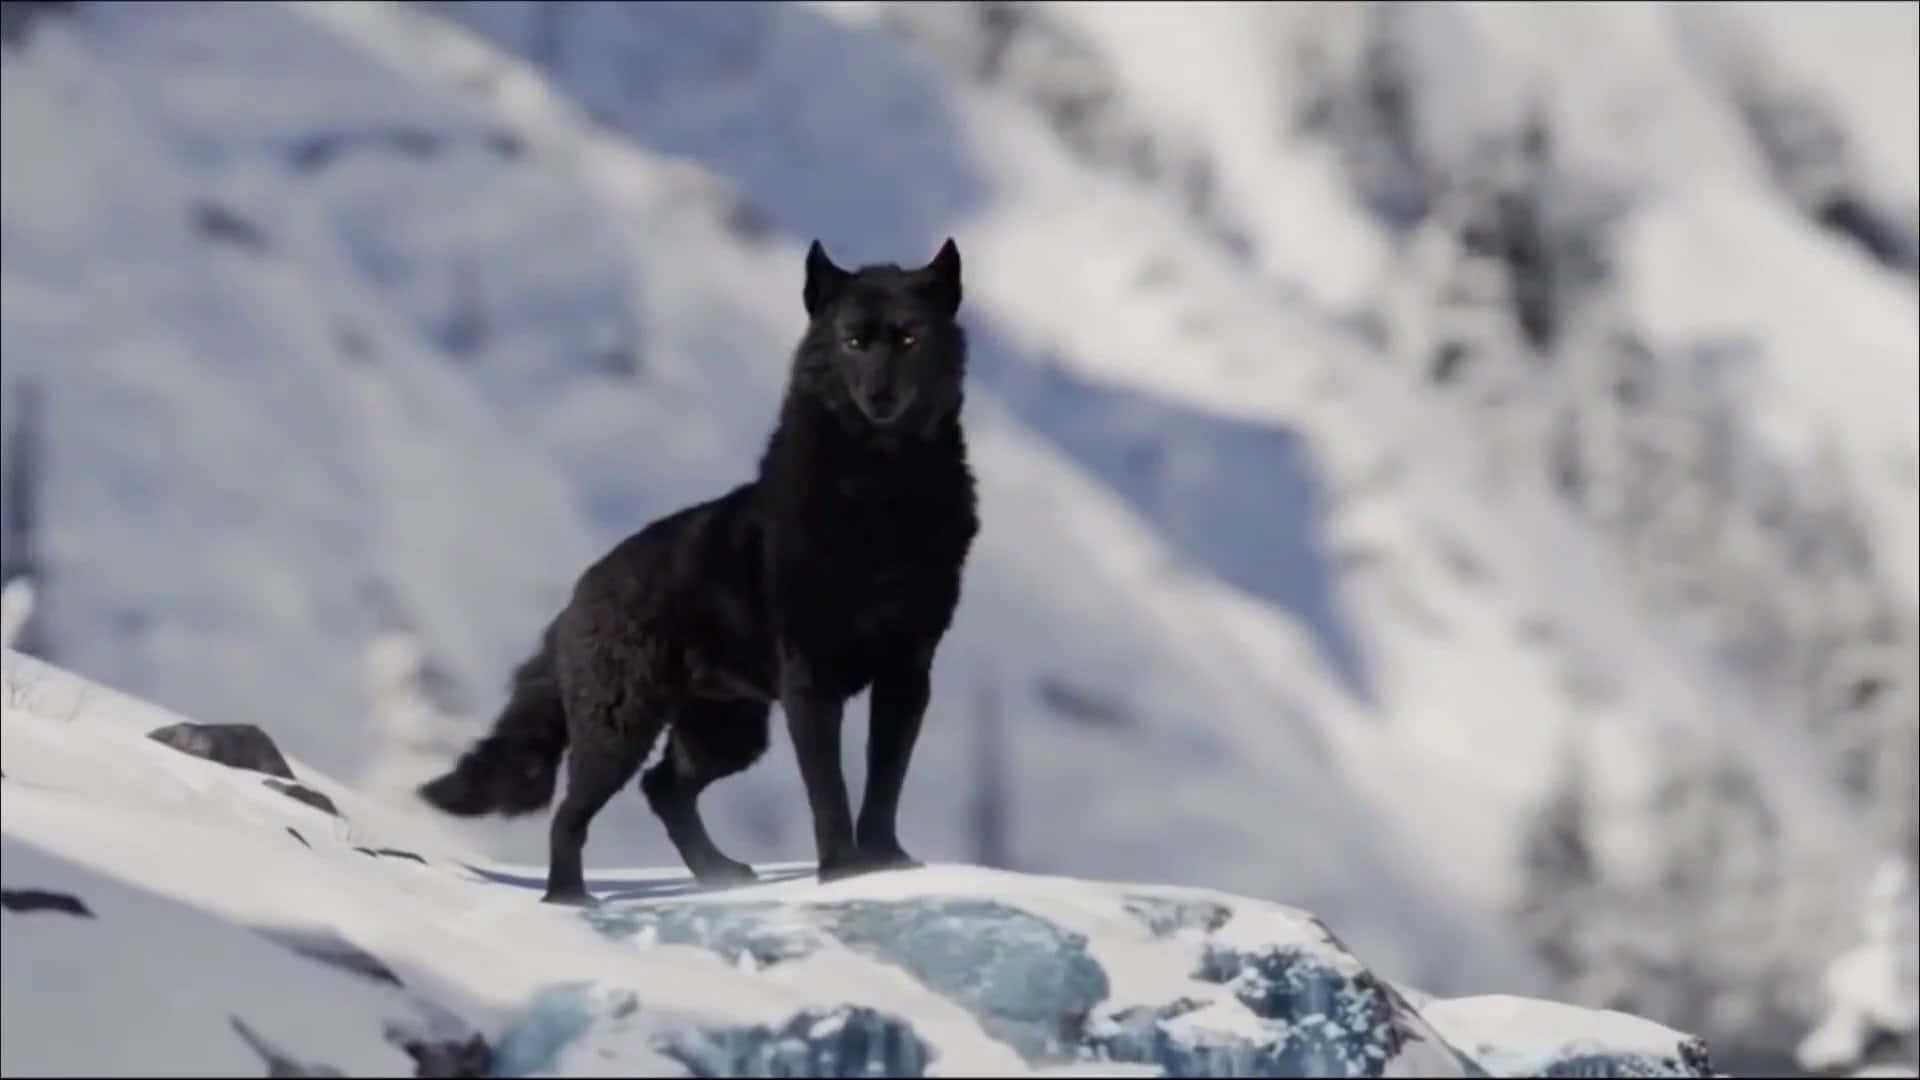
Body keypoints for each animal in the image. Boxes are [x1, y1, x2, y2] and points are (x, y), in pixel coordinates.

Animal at [419, 239, 979, 904]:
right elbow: (829, 789)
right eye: (854, 341)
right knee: (573, 813)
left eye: (911, 338)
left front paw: (886, 862)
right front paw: (842, 871)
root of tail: (574, 600)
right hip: (624, 731)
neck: (882, 497)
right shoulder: (811, 679)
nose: (879, 397)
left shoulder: (908, 672)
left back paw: (720, 872)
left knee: (662, 788)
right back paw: (570, 897)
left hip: (727, 731)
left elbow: (885, 779)